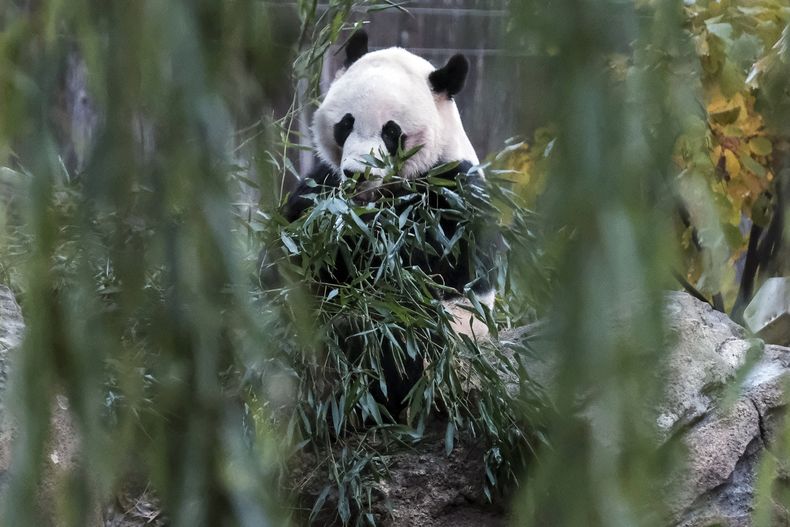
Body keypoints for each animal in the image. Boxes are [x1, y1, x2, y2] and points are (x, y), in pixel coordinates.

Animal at [280, 30, 497, 417]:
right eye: (346, 123)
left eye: (391, 132)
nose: (357, 174)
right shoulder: (324, 180)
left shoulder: (450, 194)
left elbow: (425, 265)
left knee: (393, 341)